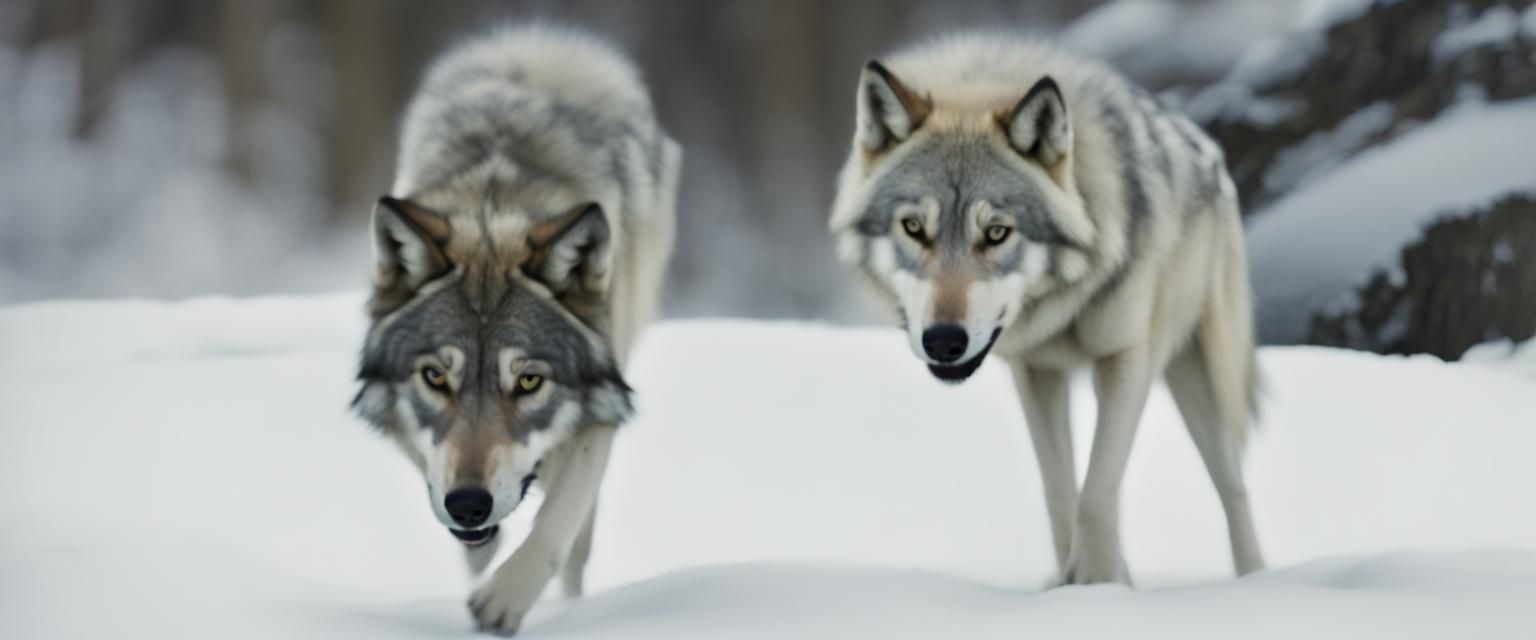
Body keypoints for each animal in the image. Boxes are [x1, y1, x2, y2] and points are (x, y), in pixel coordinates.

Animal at [351, 25, 679, 634]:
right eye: (435, 377)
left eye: (529, 381)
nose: (468, 505)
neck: (493, 203)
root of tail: (544, 48)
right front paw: (481, 552)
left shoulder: (603, 404)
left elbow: (559, 520)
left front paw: (504, 600)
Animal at [830, 33, 1264, 585]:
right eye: (913, 228)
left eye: (997, 232)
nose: (943, 342)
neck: (1062, 307)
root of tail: (1206, 150)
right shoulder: (1036, 372)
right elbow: (1060, 494)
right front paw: (1075, 586)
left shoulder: (1125, 359)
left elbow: (1095, 496)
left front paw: (1101, 588)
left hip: (1199, 373)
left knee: (1234, 488)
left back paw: (1256, 583)